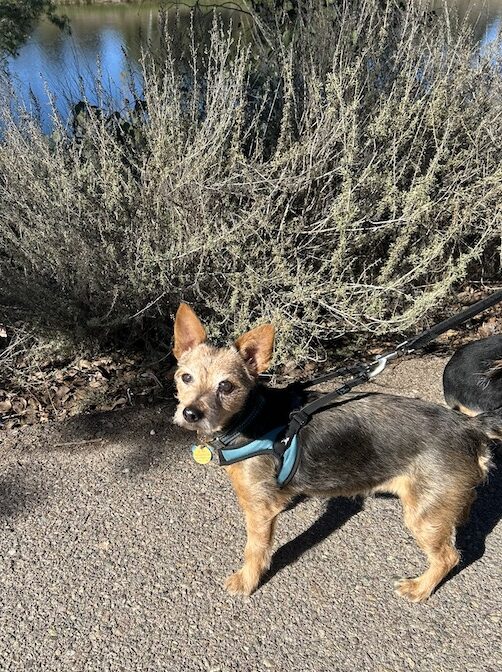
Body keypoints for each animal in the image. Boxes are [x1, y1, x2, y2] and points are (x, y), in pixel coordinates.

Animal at [172, 304, 498, 604]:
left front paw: (247, 580)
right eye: (186, 378)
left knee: (448, 556)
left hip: (421, 515)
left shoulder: (258, 509)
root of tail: (468, 425)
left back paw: (420, 587)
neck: (248, 417)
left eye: (226, 386)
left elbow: (255, 548)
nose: (190, 413)